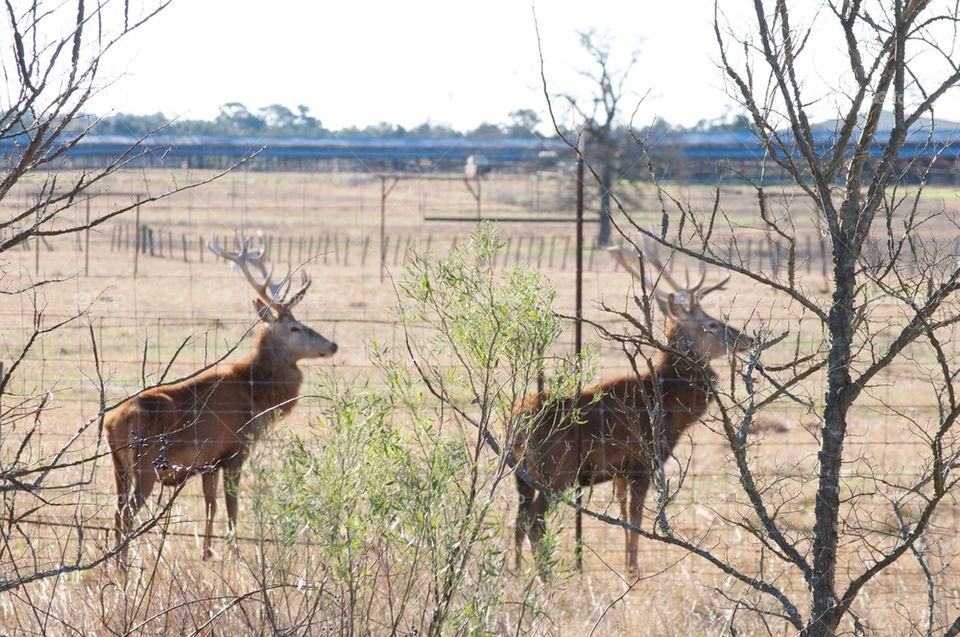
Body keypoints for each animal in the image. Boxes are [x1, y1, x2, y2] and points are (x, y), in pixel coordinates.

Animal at [105, 235, 338, 563]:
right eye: (295, 327)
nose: (332, 345)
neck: (256, 397)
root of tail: (110, 422)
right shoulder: (234, 451)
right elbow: (231, 507)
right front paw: (236, 555)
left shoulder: (208, 462)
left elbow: (210, 507)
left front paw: (207, 554)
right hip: (144, 459)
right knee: (126, 513)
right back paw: (123, 565)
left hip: (118, 465)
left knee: (116, 511)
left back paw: (112, 564)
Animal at [512, 247, 753, 579]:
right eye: (712, 323)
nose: (748, 339)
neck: (670, 405)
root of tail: (517, 423)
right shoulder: (642, 461)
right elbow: (636, 520)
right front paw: (633, 575)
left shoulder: (621, 471)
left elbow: (625, 518)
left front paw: (627, 571)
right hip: (556, 471)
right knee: (535, 521)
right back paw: (544, 580)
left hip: (521, 476)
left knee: (519, 521)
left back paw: (514, 574)